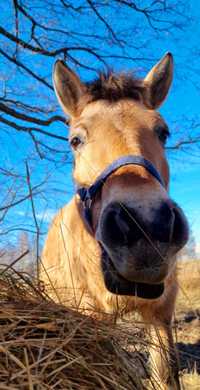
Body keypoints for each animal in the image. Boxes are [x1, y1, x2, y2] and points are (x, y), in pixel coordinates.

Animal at [41, 52, 188, 390]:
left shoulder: (161, 313)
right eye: (75, 140)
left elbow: (165, 375)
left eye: (162, 132)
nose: (147, 224)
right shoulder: (92, 316)